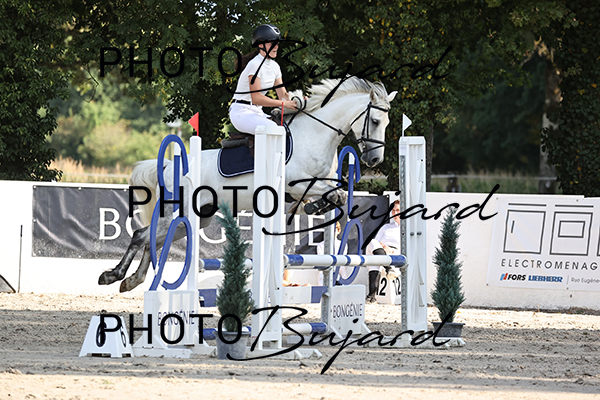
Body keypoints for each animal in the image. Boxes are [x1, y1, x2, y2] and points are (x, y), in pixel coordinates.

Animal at [98, 76, 397, 292]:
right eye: (374, 120)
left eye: (386, 123)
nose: (374, 159)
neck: (316, 135)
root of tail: (169, 166)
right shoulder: (295, 185)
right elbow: (335, 194)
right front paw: (317, 207)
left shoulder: (311, 186)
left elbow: (335, 195)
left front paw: (315, 208)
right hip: (178, 210)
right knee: (142, 235)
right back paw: (113, 275)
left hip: (198, 217)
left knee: (155, 241)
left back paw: (132, 280)